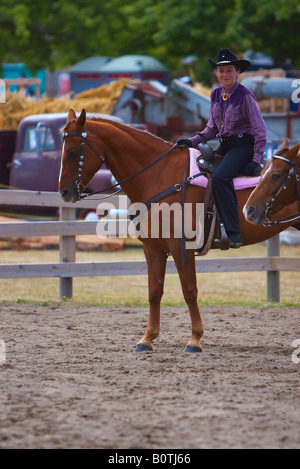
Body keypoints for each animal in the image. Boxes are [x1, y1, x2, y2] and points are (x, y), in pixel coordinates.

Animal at [58, 109, 300, 352]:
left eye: (73, 150)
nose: (64, 192)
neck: (159, 175)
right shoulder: (153, 248)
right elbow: (154, 292)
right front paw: (147, 338)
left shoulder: (181, 247)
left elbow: (189, 291)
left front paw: (195, 339)